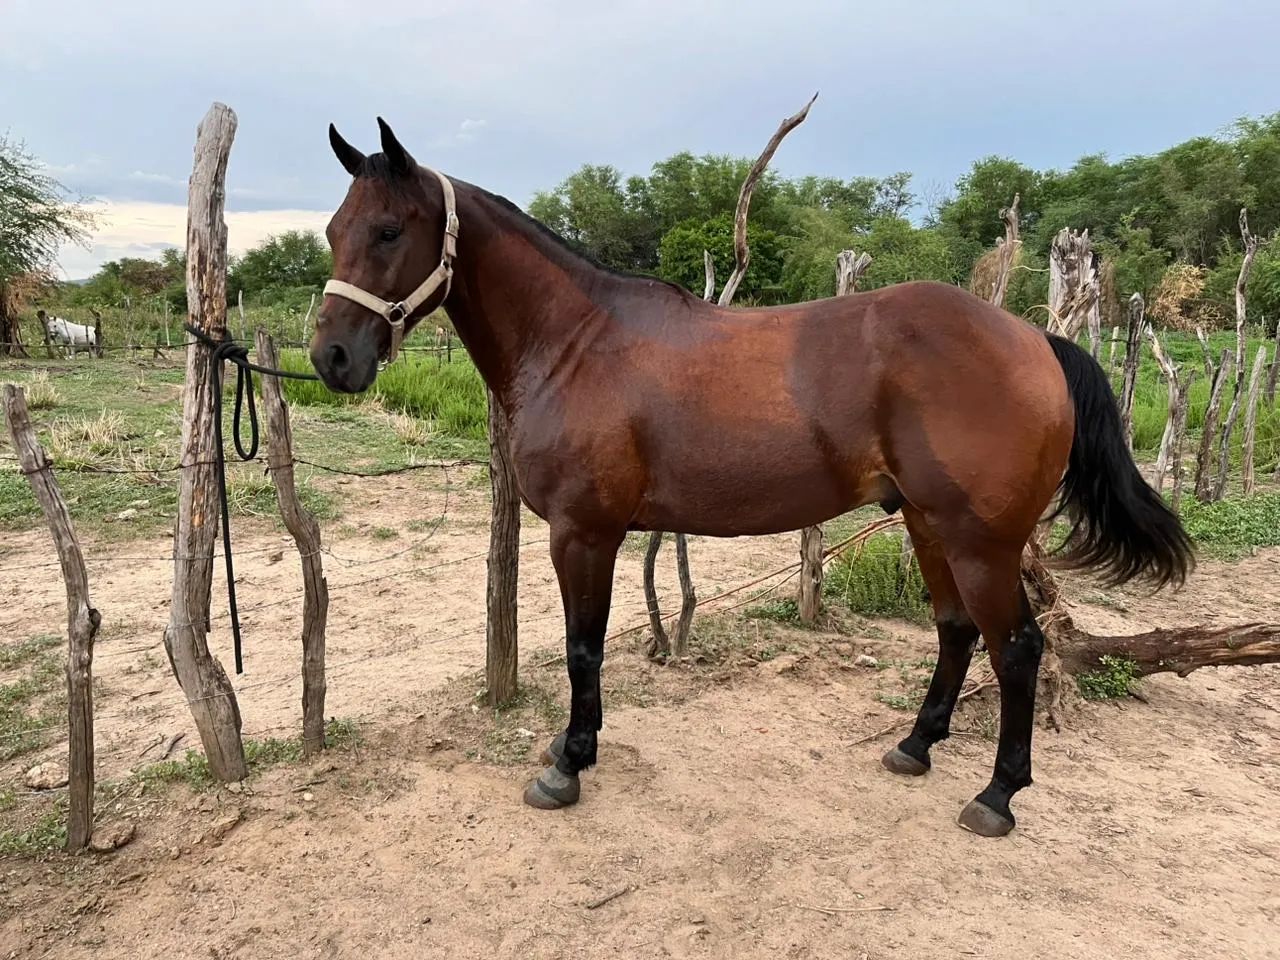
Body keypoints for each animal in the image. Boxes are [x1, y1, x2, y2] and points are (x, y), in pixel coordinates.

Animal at [309, 119, 1193, 837]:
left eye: (388, 229)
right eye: (332, 229)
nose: (332, 357)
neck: (576, 343)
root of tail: (1035, 339)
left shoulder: (583, 533)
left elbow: (582, 648)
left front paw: (568, 763)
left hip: (982, 541)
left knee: (1017, 648)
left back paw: (998, 796)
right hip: (926, 523)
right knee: (956, 630)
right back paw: (914, 746)